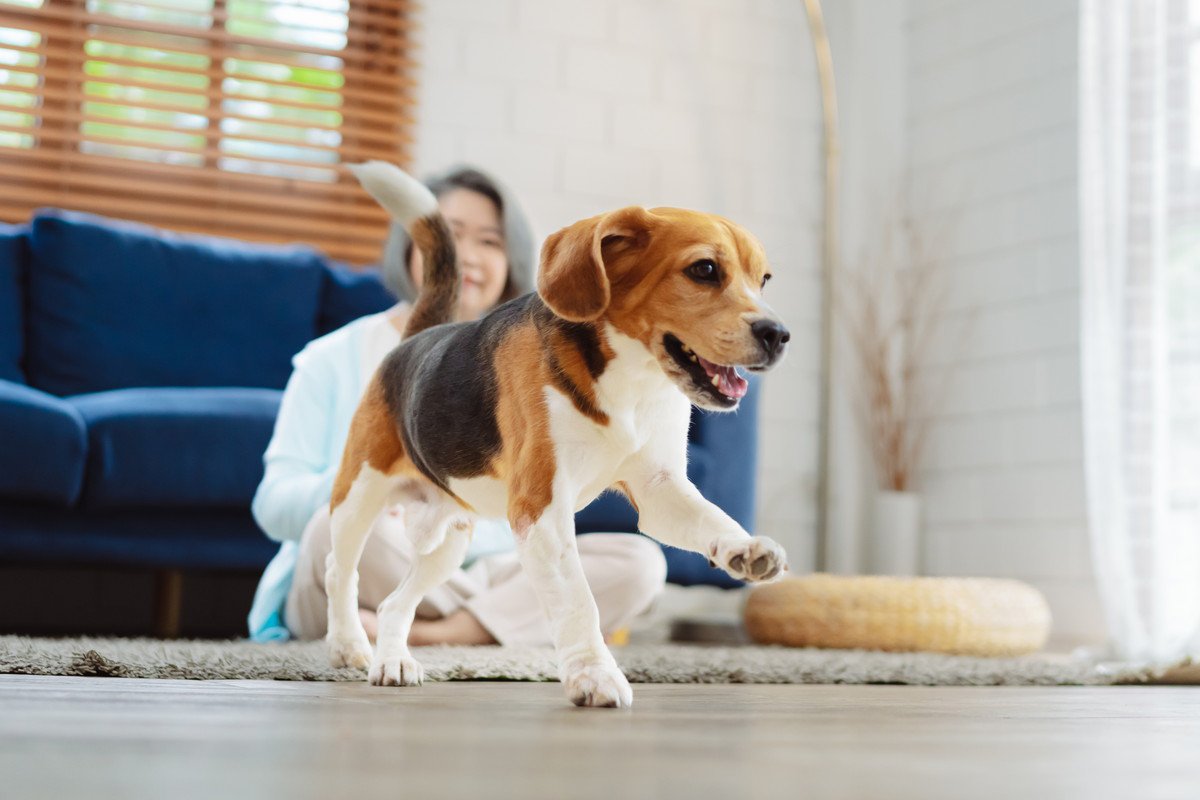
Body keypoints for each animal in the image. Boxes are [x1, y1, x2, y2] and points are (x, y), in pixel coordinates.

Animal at [328, 160, 792, 705]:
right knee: (341, 572)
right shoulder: (541, 506)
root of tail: (417, 339)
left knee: (395, 603)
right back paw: (348, 646)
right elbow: (578, 598)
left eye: (763, 279)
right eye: (704, 270)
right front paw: (593, 674)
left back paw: (393, 661)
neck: (632, 381)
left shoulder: (660, 490)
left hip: (447, 543)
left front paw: (744, 548)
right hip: (358, 498)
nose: (778, 335)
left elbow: (712, 518)